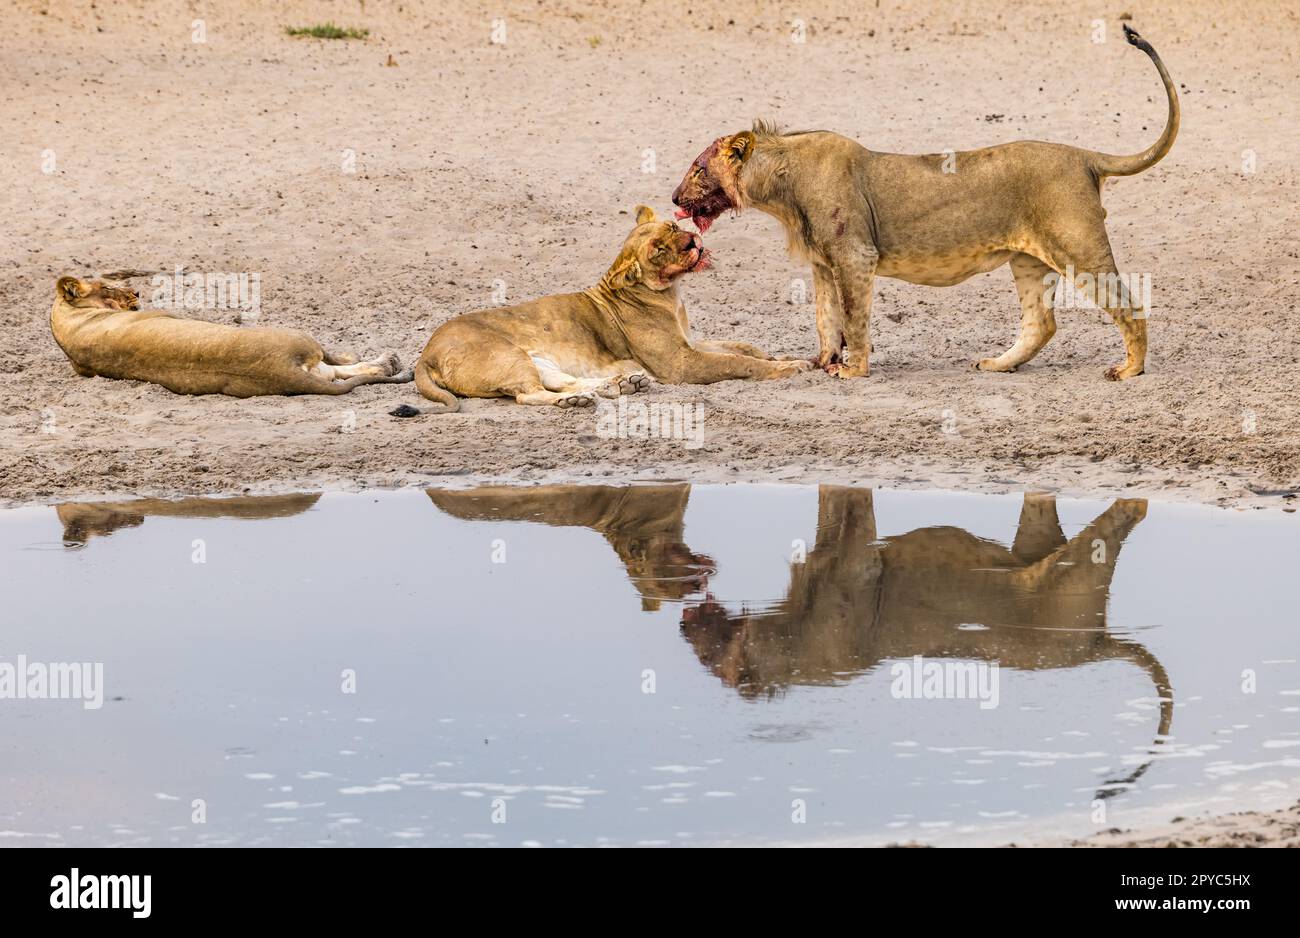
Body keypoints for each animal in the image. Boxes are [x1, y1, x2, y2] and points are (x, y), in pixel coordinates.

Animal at [50, 275, 410, 397]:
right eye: (107, 286)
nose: (137, 291)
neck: (69, 324)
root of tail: (281, 370)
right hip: (302, 336)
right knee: (338, 364)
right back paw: (388, 361)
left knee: (334, 373)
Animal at [384, 206, 811, 415]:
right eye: (658, 249)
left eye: (674, 228)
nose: (692, 241)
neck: (670, 296)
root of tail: (426, 352)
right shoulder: (680, 365)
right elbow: (739, 363)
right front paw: (788, 368)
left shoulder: (690, 342)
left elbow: (741, 346)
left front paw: (788, 357)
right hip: (508, 356)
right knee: (529, 396)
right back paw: (581, 401)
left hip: (537, 360)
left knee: (564, 383)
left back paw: (619, 386)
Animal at [670, 22, 1180, 379]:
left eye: (697, 169)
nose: (673, 196)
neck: (780, 188)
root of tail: (1085, 156)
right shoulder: (822, 263)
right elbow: (825, 318)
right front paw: (822, 361)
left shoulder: (855, 256)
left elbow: (853, 317)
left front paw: (853, 370)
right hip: (1028, 260)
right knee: (1041, 323)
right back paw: (999, 364)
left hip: (1078, 247)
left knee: (1128, 303)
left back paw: (1129, 370)